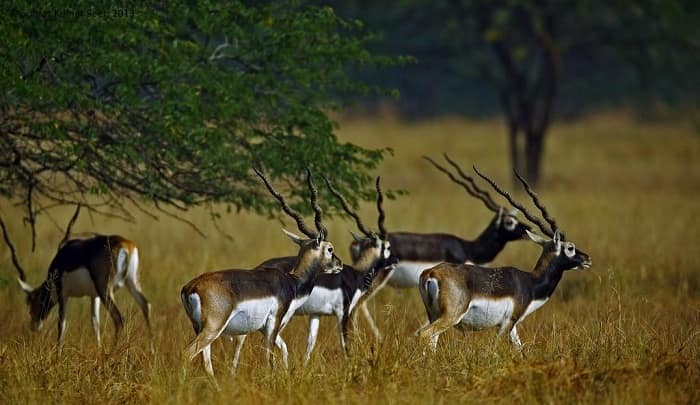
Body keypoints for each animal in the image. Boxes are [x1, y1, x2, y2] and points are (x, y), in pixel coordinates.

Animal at [17, 234, 150, 344]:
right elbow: (95, 324)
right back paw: (151, 352)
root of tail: (126, 245)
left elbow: (61, 325)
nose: (34, 327)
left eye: (31, 307)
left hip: (105, 290)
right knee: (146, 305)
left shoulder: (62, 294)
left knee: (119, 319)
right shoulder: (94, 296)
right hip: (131, 282)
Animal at [180, 168, 342, 376]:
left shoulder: (264, 328)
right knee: (187, 354)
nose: (340, 264)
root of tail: (191, 287)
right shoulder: (273, 322)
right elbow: (269, 358)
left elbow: (284, 349)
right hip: (213, 327)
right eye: (330, 249)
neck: (292, 282)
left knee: (206, 362)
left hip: (199, 328)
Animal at [256, 176, 400, 362]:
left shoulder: (316, 315)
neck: (356, 274)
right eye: (388, 247)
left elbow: (310, 345)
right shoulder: (344, 313)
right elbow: (345, 345)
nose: (396, 260)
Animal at [416, 167, 592, 350]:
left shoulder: (513, 327)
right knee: (423, 334)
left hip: (433, 314)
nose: (587, 258)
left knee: (431, 339)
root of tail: (431, 273)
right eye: (570, 247)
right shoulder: (506, 323)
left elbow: (519, 349)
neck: (530, 283)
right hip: (451, 316)